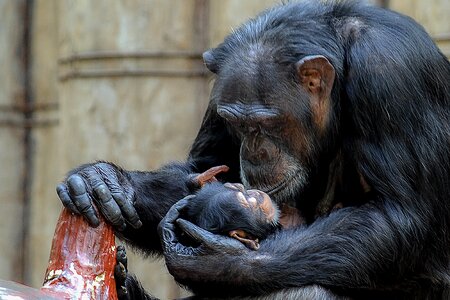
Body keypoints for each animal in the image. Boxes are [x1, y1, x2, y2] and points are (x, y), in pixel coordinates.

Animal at [55, 1, 450, 298]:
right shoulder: (221, 90)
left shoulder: (390, 72)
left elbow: (397, 214)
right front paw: (105, 181)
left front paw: (218, 263)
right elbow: (206, 168)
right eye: (238, 124)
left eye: (266, 123)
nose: (255, 153)